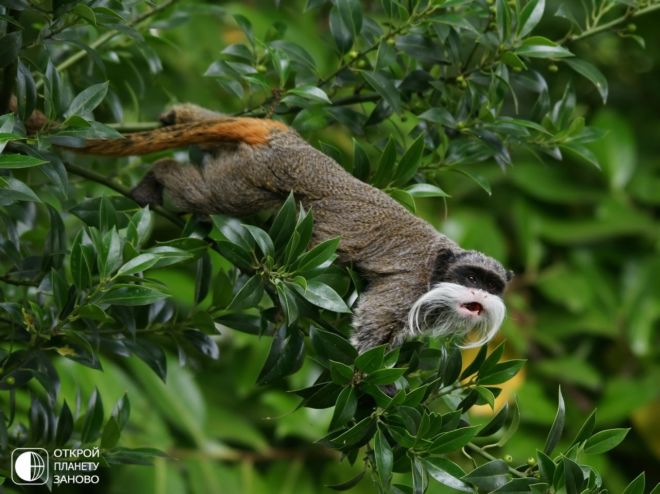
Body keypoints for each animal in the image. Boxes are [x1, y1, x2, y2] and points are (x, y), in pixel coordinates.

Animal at [64, 103, 513, 353]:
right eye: (471, 277)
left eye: (491, 286)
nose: (478, 294)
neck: (440, 266)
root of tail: (294, 144)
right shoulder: (411, 283)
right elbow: (372, 329)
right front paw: (379, 390)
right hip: (263, 173)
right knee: (212, 195)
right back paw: (156, 177)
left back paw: (178, 116)